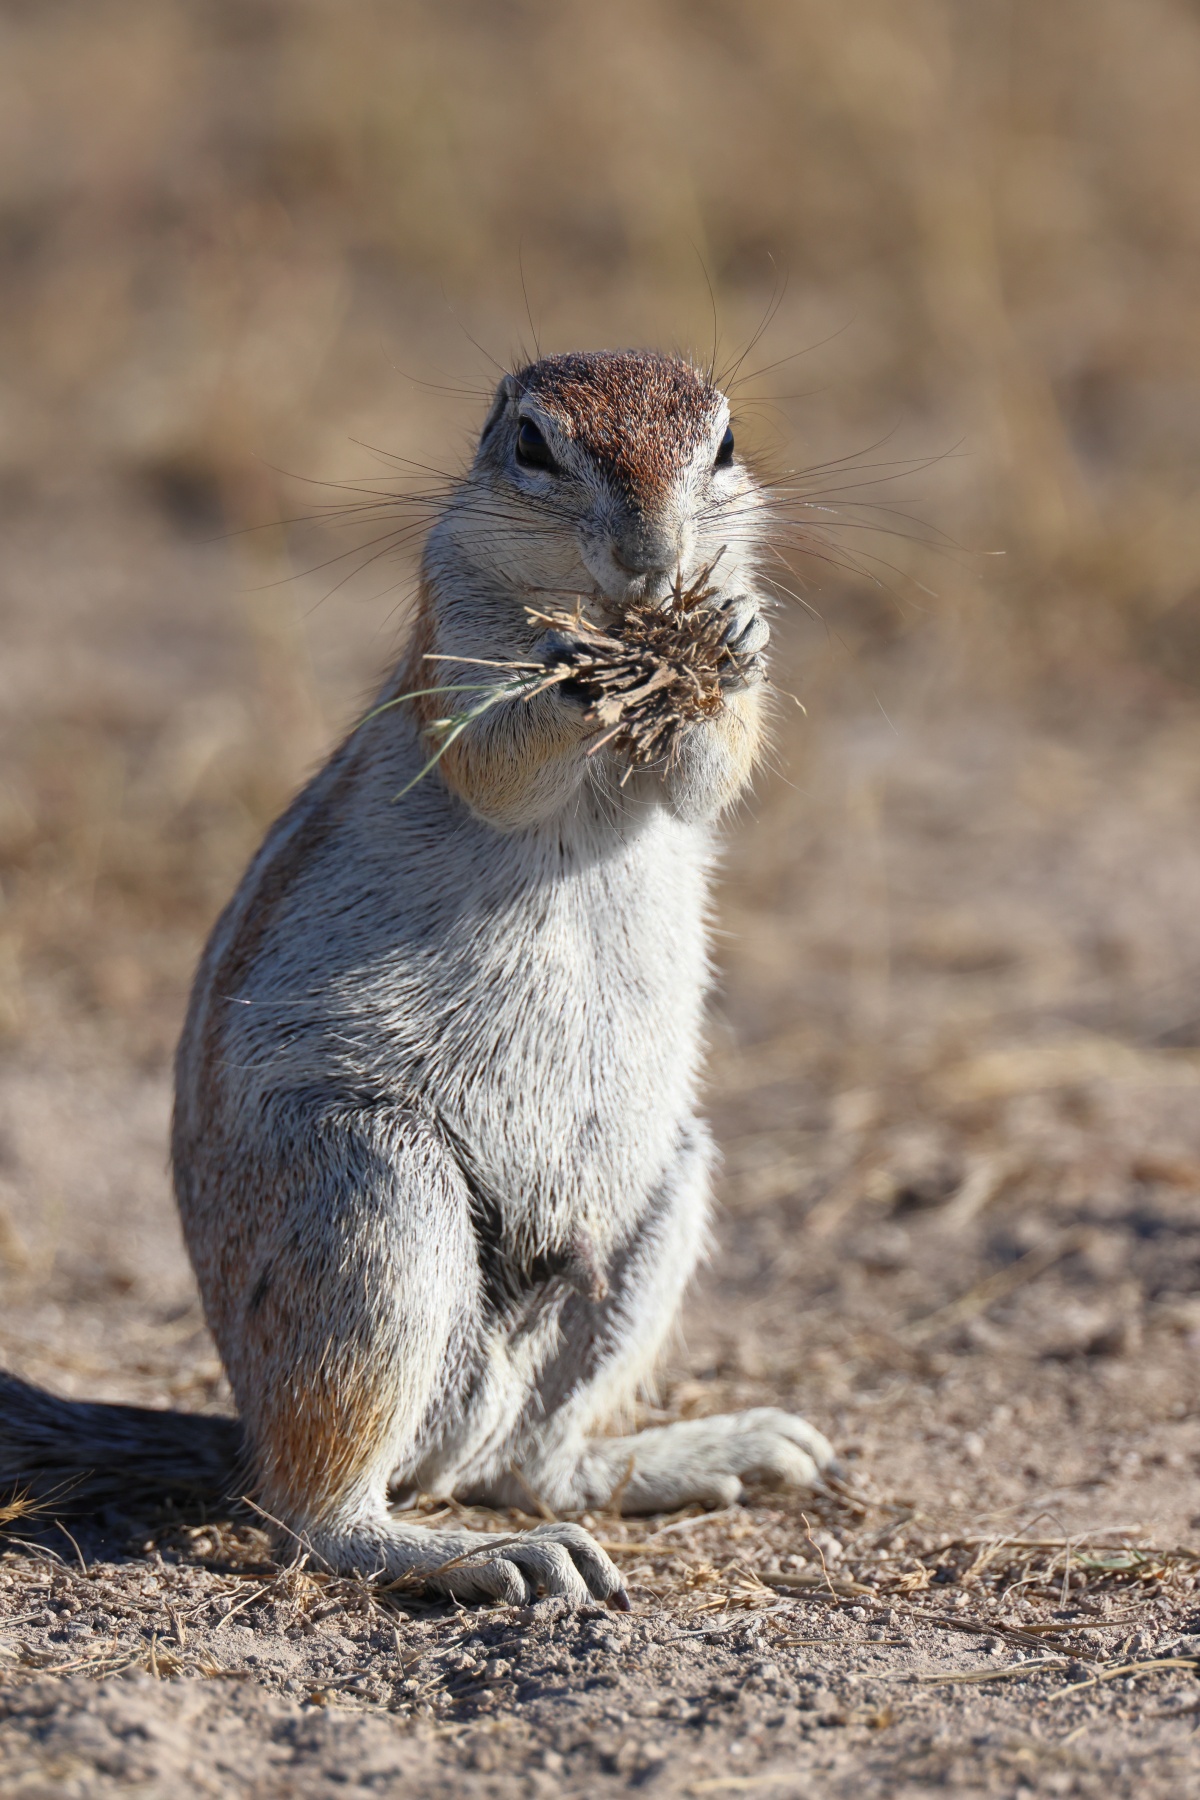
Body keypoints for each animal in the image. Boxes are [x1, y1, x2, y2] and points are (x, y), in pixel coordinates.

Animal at [1, 351, 837, 1607]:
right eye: (532, 444)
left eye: (725, 445)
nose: (654, 556)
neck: (606, 612)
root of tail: (244, 1425)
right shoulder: (451, 650)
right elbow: (498, 759)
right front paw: (577, 680)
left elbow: (711, 769)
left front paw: (720, 640)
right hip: (371, 1204)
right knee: (313, 1513)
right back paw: (472, 1554)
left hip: (659, 1199)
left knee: (527, 1462)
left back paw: (688, 1454)